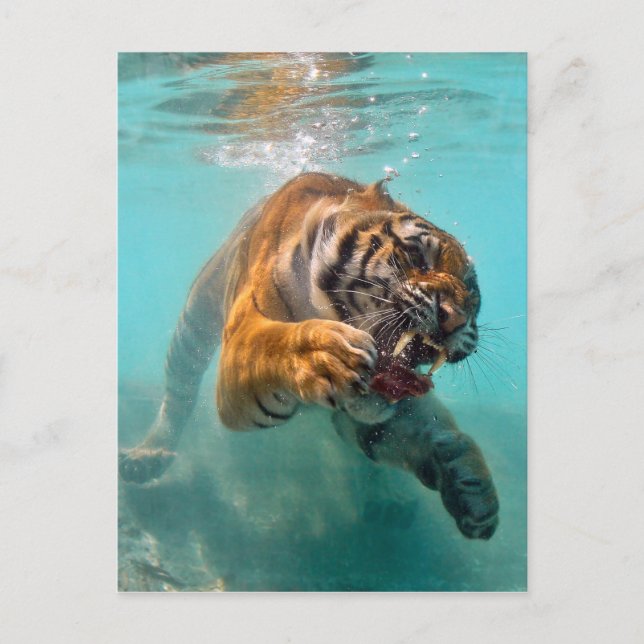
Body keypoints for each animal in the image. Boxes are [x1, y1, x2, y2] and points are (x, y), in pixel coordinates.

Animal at [119, 172, 499, 540]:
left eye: (472, 290)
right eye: (418, 256)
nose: (455, 320)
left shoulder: (379, 412)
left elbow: (429, 433)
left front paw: (471, 487)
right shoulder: (240, 339)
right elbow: (273, 343)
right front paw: (327, 356)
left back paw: (388, 503)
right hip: (194, 320)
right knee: (179, 392)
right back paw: (147, 457)